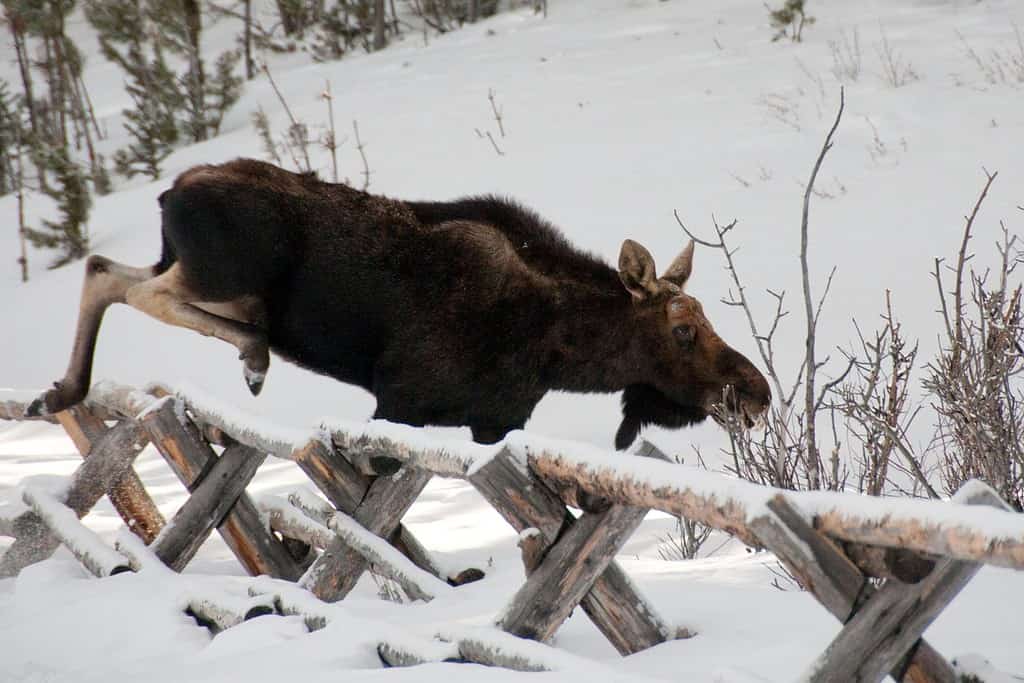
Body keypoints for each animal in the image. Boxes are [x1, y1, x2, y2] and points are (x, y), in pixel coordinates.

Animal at [25, 159, 770, 448]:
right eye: (683, 328)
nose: (756, 392)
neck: (557, 350)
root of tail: (168, 193)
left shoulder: (495, 422)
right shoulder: (401, 402)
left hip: (199, 271)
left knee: (101, 268)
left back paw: (62, 390)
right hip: (226, 274)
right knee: (138, 288)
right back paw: (255, 358)